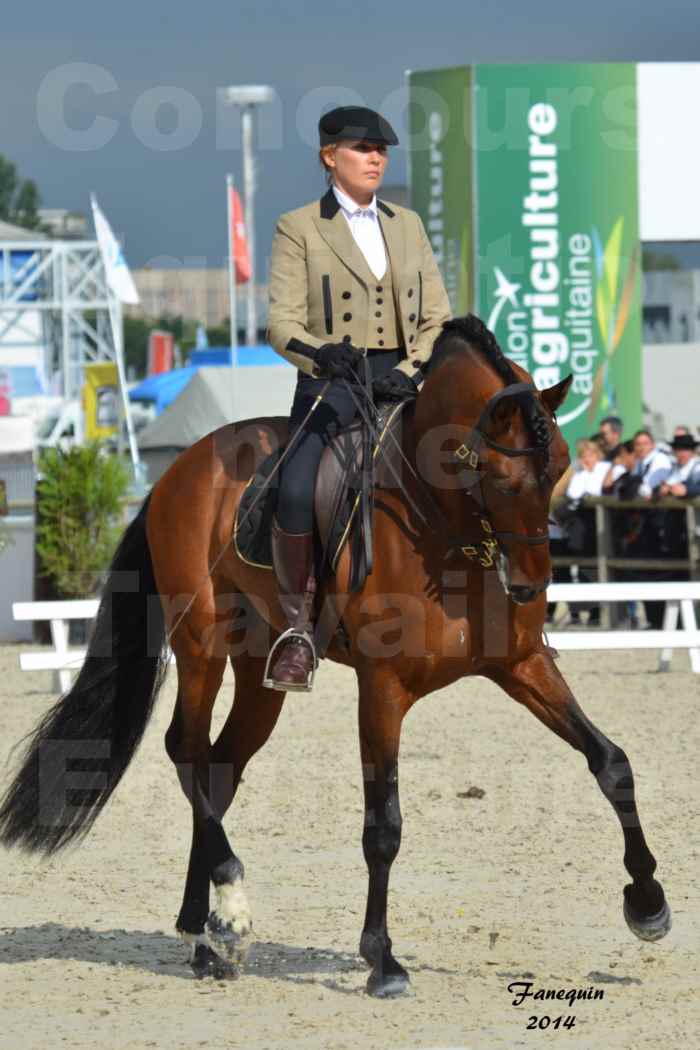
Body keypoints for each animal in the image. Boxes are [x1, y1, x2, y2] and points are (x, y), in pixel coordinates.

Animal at [0, 315, 671, 995]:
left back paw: (206, 936)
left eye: (559, 466)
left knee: (220, 765)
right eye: (501, 478)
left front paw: (648, 904)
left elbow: (611, 762)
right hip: (201, 645)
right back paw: (231, 908)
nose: (531, 587)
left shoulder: (521, 665)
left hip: (260, 674)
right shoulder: (383, 687)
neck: (442, 523)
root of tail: (176, 471)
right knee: (185, 748)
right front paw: (382, 960)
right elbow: (384, 825)